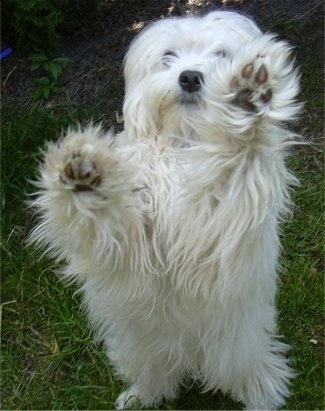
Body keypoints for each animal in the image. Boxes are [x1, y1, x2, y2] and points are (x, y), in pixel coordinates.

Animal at [30, 11, 298, 410]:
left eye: (222, 55)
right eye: (168, 56)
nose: (189, 77)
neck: (183, 141)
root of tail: (191, 359)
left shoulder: (214, 225)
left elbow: (235, 158)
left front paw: (245, 103)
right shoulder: (133, 243)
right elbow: (113, 222)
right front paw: (85, 175)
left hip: (238, 346)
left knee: (251, 371)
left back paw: (262, 395)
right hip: (139, 349)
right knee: (156, 376)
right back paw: (140, 396)